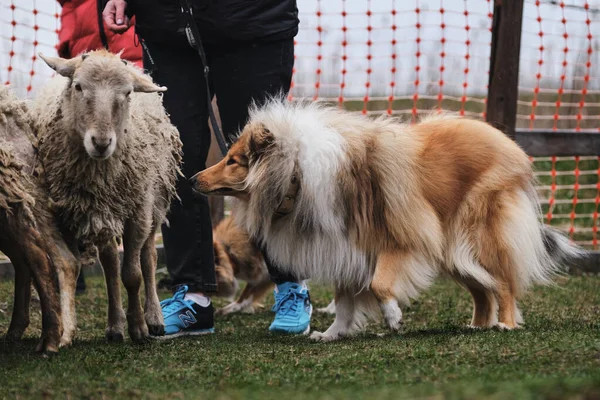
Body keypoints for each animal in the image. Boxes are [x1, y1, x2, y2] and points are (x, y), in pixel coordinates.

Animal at [32, 47, 182, 340]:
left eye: (127, 92)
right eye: (78, 86)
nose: (101, 143)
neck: (99, 175)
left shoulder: (138, 211)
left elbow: (133, 274)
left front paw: (139, 328)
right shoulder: (88, 211)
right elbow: (112, 270)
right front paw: (120, 325)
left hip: (155, 202)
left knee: (149, 258)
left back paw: (154, 318)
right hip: (106, 212)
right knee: (111, 262)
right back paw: (115, 325)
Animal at [191, 99, 580, 340]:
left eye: (233, 160)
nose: (194, 179)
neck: (297, 173)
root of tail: (508, 144)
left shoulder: (401, 239)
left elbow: (379, 284)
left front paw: (393, 317)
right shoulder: (344, 247)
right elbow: (345, 299)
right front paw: (332, 334)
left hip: (478, 238)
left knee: (504, 283)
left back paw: (506, 325)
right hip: (454, 253)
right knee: (483, 290)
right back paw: (477, 326)